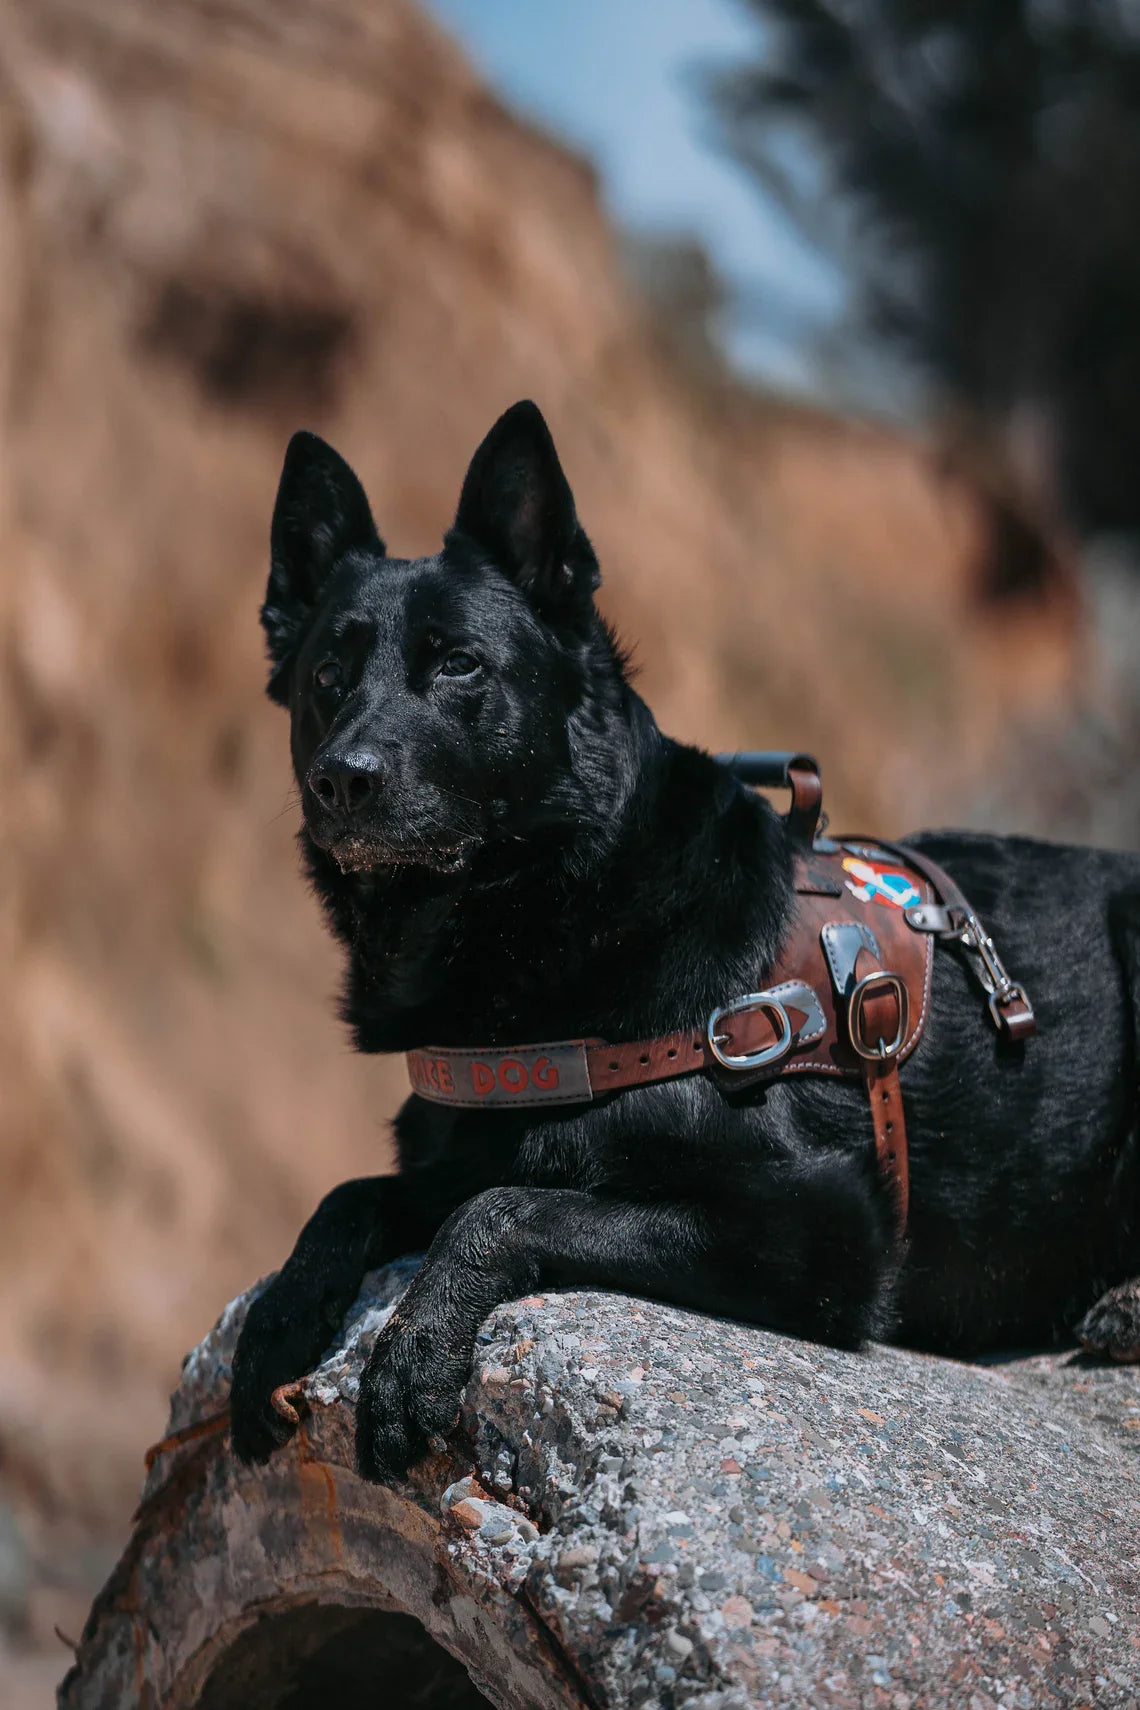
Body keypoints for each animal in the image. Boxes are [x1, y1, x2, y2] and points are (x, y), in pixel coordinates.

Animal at [229, 393, 1140, 1477]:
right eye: (328, 673)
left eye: (459, 665)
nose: (343, 779)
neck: (558, 903)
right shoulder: (461, 1151)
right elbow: (354, 1196)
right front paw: (280, 1316)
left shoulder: (826, 1226)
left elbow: (501, 1208)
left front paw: (416, 1353)